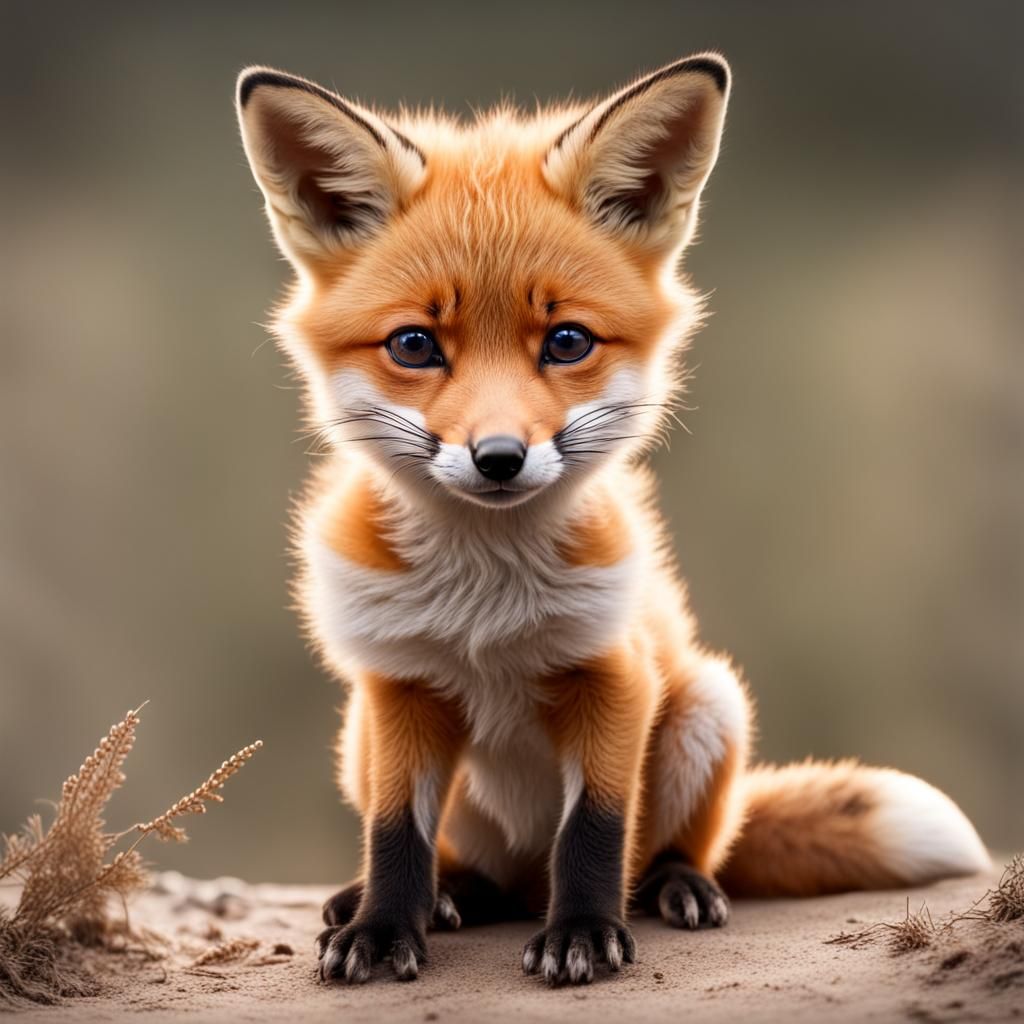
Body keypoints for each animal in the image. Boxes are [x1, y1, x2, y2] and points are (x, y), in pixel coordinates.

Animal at [234, 53, 990, 987]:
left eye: (566, 342)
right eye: (415, 345)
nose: (498, 458)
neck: (486, 600)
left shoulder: (614, 673)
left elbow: (594, 830)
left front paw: (585, 934)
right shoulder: (399, 684)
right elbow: (395, 833)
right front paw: (382, 928)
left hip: (710, 703)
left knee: (665, 851)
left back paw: (672, 888)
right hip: (360, 741)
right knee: (476, 871)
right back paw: (442, 896)